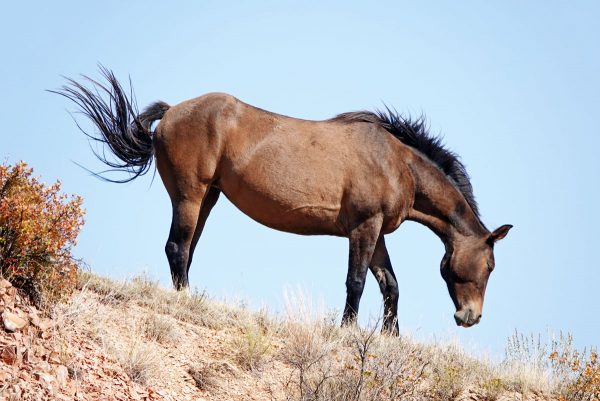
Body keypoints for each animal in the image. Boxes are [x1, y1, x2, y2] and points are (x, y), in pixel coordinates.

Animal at [53, 67, 512, 334]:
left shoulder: (376, 231)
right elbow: (357, 282)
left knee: (186, 249)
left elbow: (391, 285)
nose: (470, 317)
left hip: (208, 199)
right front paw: (347, 333)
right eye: (490, 265)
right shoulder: (363, 228)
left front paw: (389, 338)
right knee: (177, 247)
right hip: (189, 194)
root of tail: (172, 111)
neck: (395, 162)